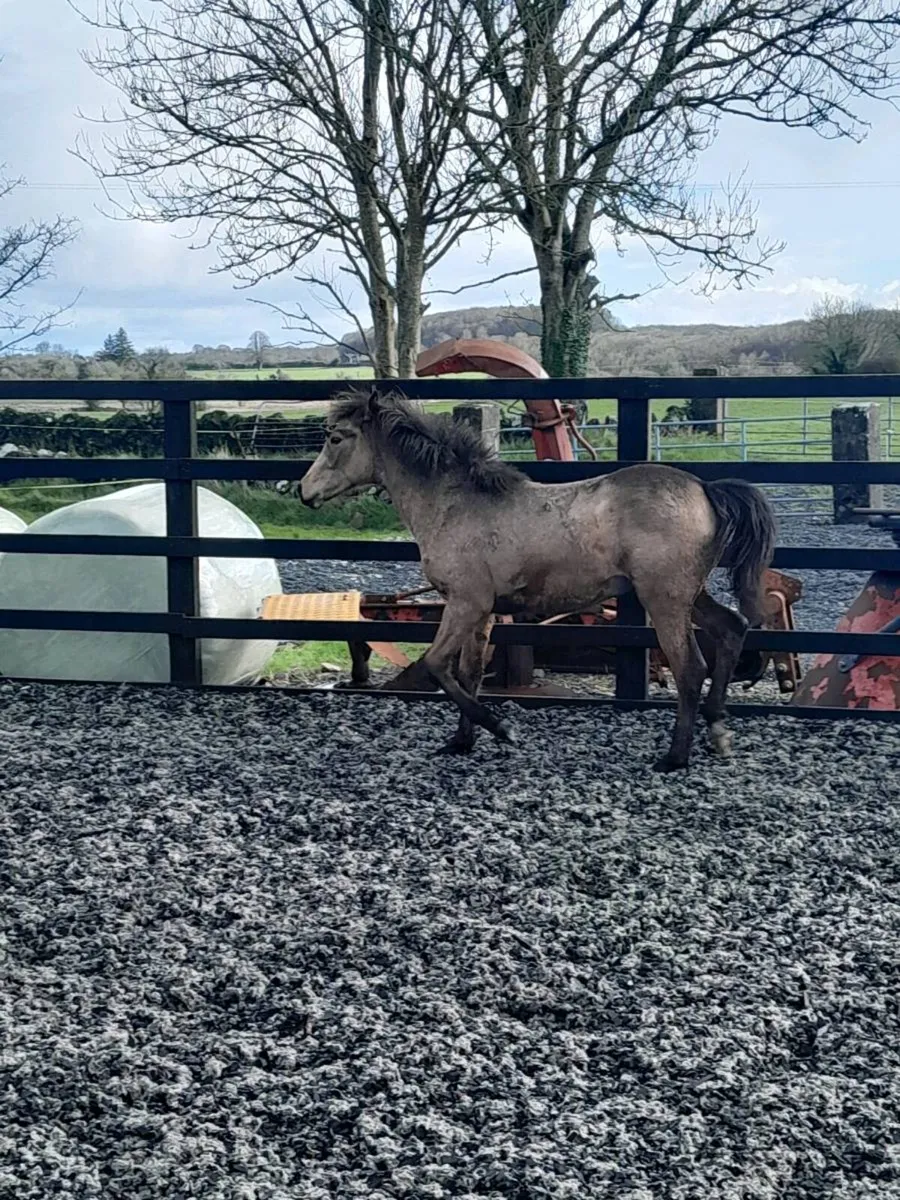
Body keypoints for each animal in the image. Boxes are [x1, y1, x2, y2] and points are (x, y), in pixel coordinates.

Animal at [300, 389, 777, 772]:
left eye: (335, 438)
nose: (304, 492)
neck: (456, 505)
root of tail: (705, 489)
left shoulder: (465, 603)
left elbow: (437, 665)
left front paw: (501, 729)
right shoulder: (483, 614)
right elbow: (469, 673)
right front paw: (461, 742)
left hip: (665, 599)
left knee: (690, 667)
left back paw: (675, 758)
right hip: (690, 595)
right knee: (733, 629)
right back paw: (719, 732)